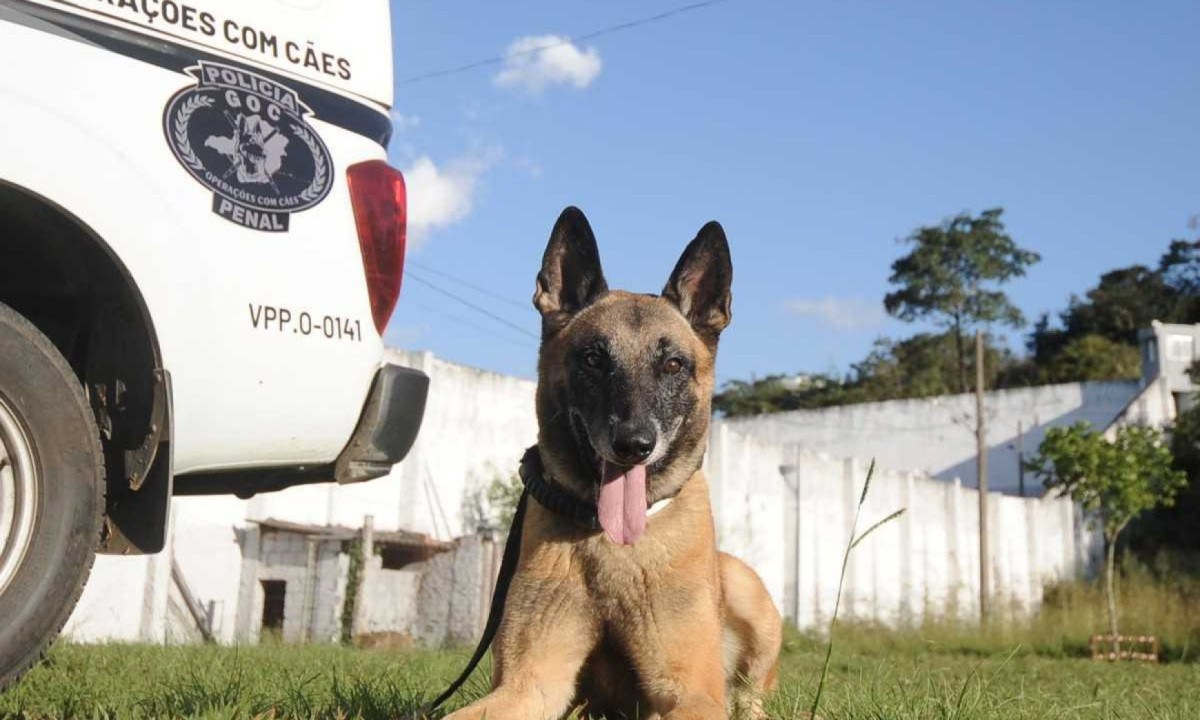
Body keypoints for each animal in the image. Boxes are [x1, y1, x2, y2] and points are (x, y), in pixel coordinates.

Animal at [446, 206, 782, 720]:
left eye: (673, 365)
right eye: (593, 359)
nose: (633, 445)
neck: (608, 545)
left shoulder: (692, 691)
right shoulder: (530, 683)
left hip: (745, 589)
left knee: (751, 697)